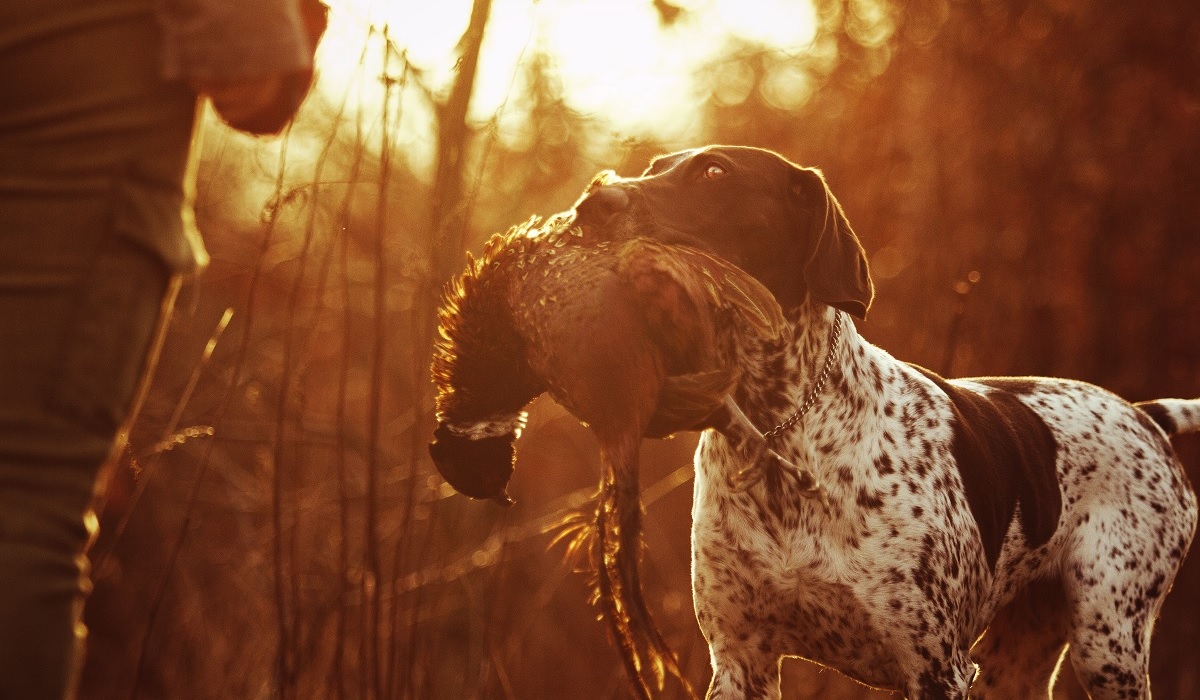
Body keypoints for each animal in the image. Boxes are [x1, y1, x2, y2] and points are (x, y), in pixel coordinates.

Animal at [571, 145, 1200, 696]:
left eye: (713, 172)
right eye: (653, 166)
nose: (590, 204)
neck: (778, 435)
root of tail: (1143, 414)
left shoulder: (935, 668)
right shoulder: (740, 662)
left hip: (1108, 640)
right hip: (1020, 656)